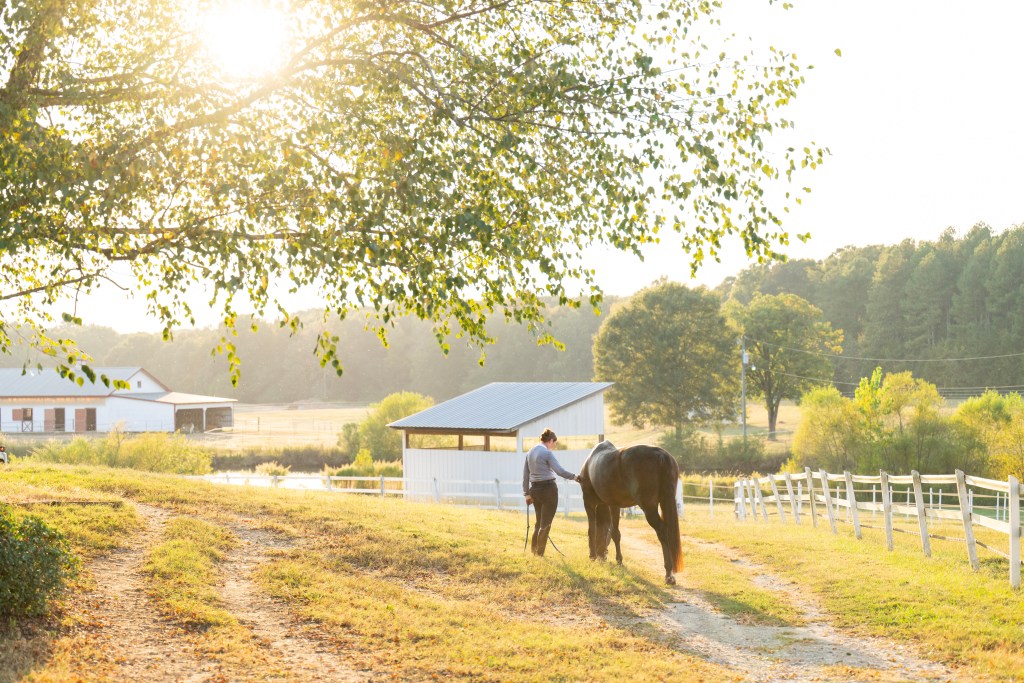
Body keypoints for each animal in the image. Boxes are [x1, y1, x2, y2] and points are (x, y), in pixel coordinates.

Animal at [578, 440, 683, 584]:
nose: (601, 556)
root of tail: (660, 454)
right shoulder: (613, 505)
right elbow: (613, 532)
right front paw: (615, 559)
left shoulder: (590, 502)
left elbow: (594, 530)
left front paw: (595, 556)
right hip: (665, 501)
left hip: (649, 508)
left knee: (662, 531)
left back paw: (668, 574)